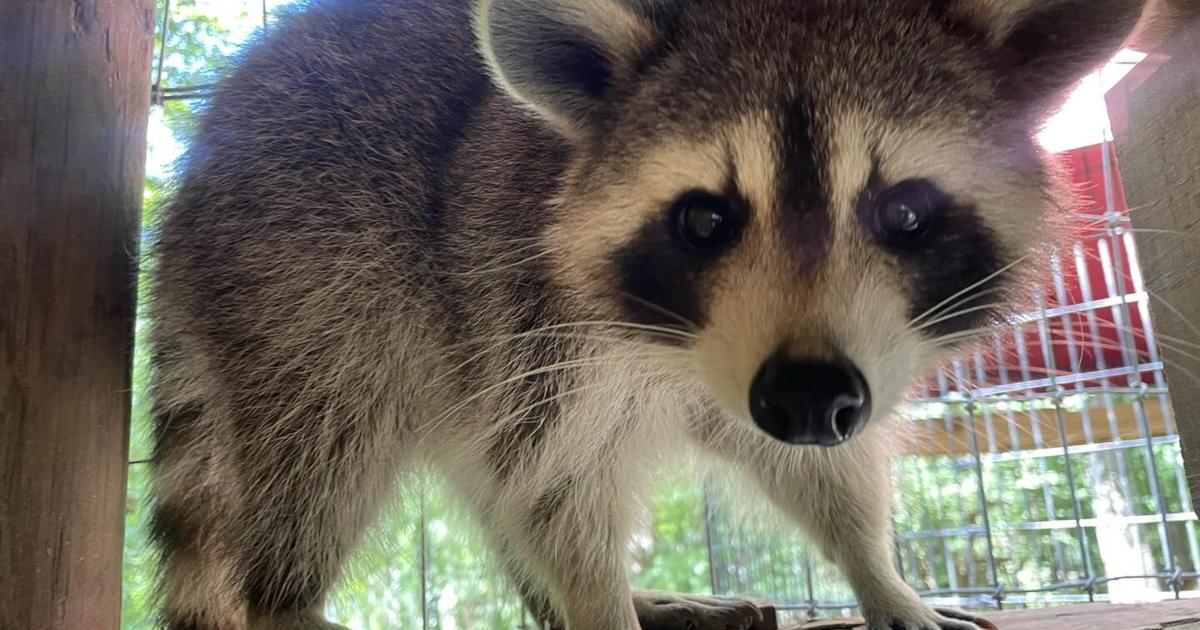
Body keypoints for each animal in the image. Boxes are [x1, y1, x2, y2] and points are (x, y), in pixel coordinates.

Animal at [147, 0, 1150, 628]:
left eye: (905, 213)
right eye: (705, 219)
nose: (808, 398)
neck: (685, 349)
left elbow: (823, 471)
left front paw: (879, 572)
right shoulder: (528, 323)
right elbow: (557, 486)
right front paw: (597, 604)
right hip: (308, 277)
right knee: (325, 443)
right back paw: (286, 599)